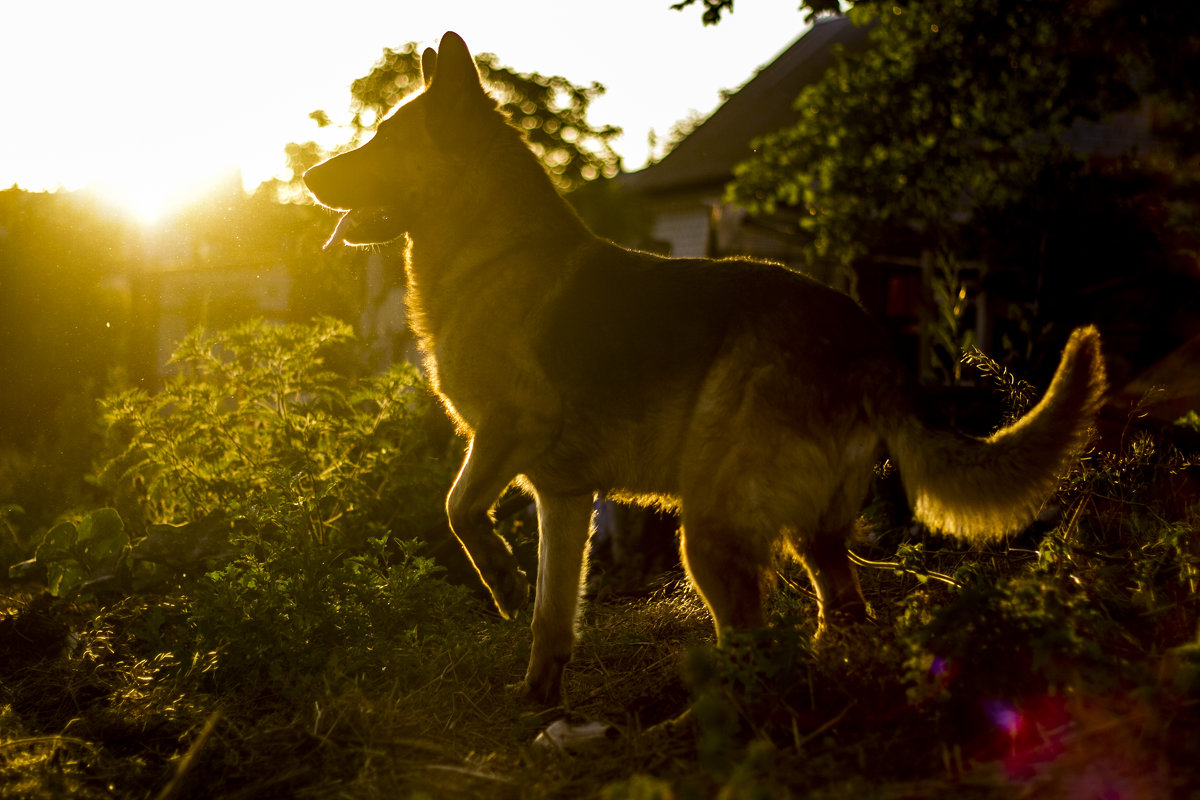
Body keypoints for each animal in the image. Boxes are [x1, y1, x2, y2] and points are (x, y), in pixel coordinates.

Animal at [304, 32, 1108, 705]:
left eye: (383, 140)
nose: (308, 176)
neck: (489, 250)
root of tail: (867, 341)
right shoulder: (563, 498)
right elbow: (551, 616)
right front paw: (538, 699)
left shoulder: (510, 433)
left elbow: (457, 510)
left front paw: (500, 577)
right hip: (810, 540)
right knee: (839, 619)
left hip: (709, 530)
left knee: (758, 651)